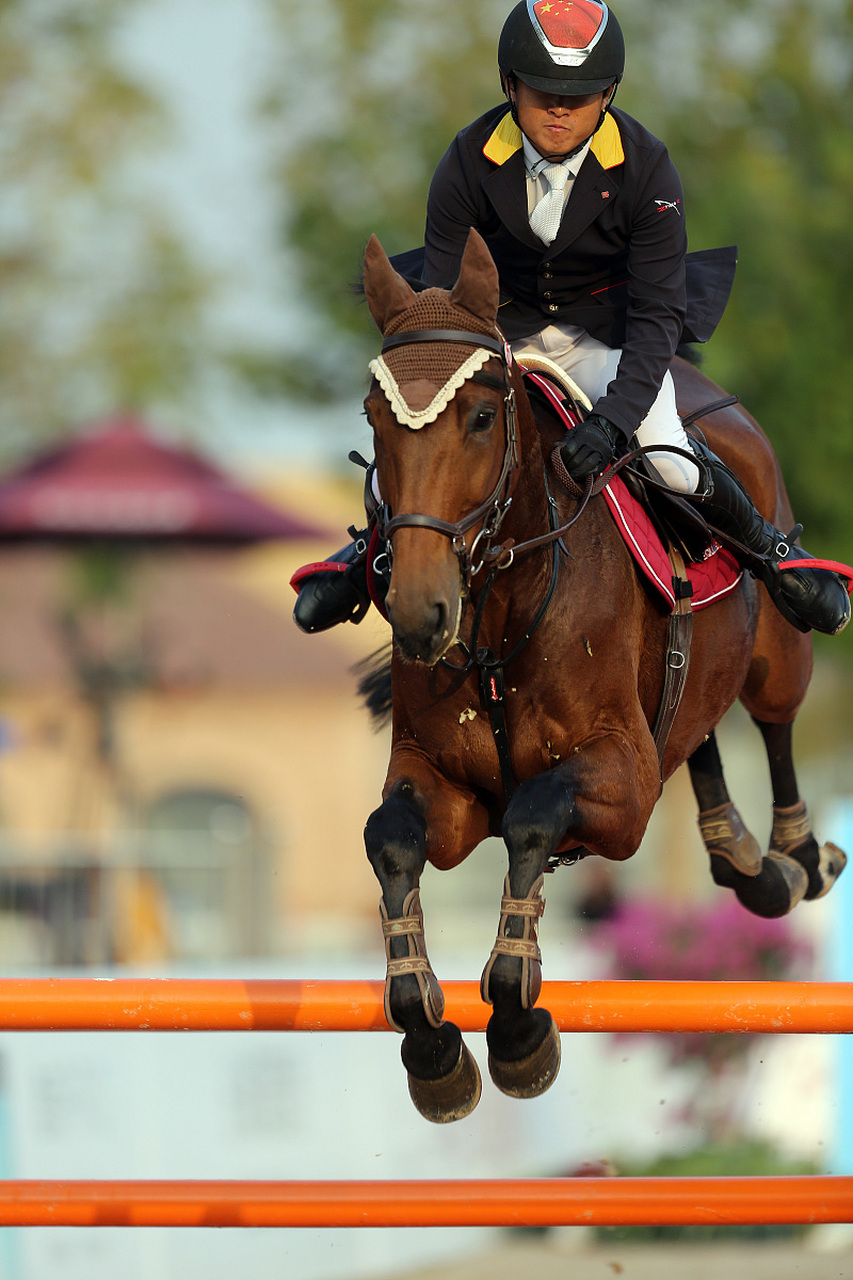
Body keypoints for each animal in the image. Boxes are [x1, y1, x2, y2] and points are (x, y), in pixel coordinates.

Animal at [359, 227, 846, 1124]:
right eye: (375, 419)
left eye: (482, 416)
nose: (419, 613)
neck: (502, 610)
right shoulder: (442, 783)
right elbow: (393, 838)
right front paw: (432, 1046)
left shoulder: (618, 793)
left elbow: (532, 814)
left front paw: (517, 1028)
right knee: (695, 732)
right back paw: (739, 852)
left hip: (777, 644)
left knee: (771, 712)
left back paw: (790, 857)